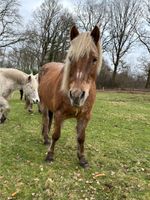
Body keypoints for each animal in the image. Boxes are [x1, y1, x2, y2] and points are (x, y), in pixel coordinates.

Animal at [38, 25, 102, 168]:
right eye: (71, 58)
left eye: (94, 59)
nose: (77, 95)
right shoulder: (59, 114)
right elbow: (56, 134)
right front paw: (50, 155)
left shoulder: (85, 117)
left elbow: (81, 137)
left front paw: (82, 159)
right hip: (44, 105)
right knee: (45, 120)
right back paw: (46, 139)